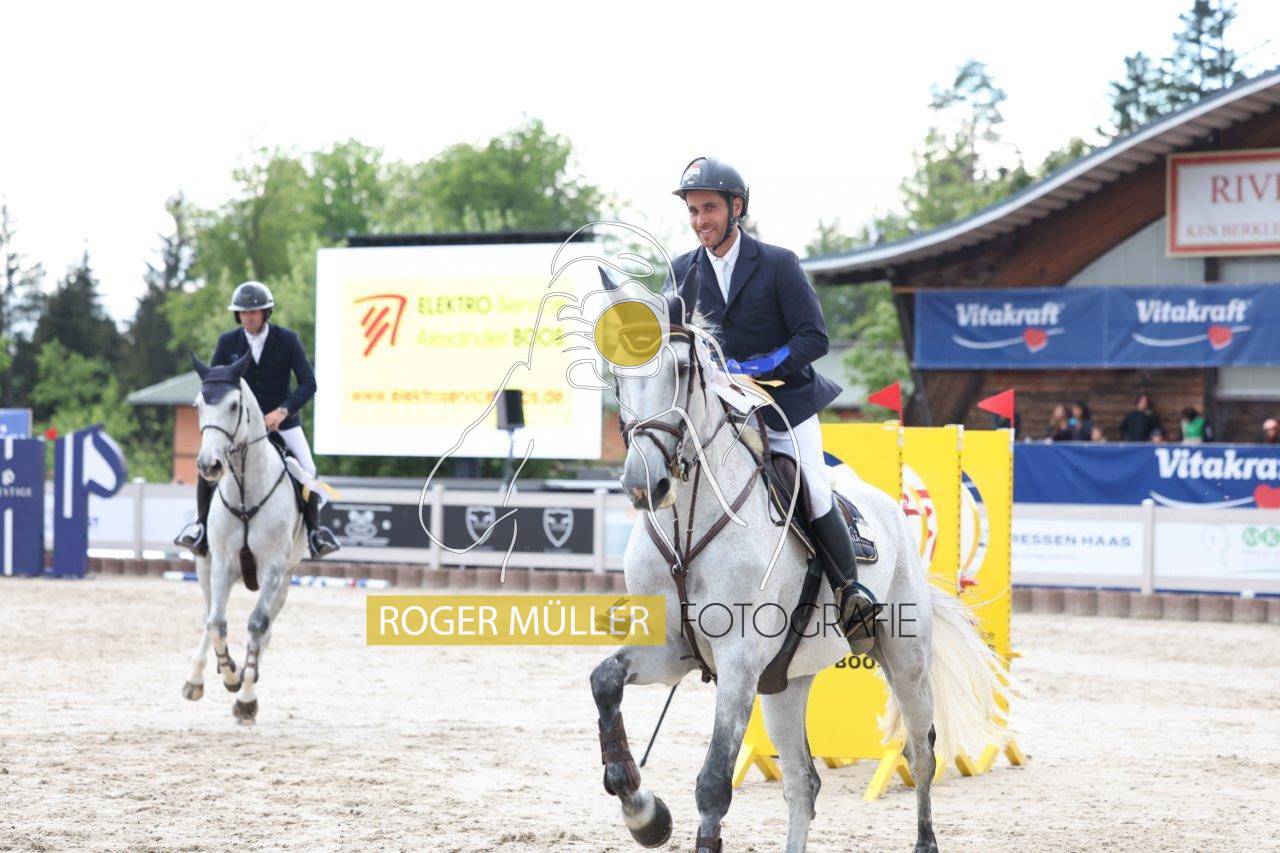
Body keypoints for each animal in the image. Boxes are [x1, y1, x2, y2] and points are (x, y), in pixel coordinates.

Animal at [180, 353, 308, 724]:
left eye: (234, 405)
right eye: (197, 406)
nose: (209, 465)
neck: (245, 490)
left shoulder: (274, 569)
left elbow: (257, 625)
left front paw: (246, 697)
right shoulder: (222, 562)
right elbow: (217, 623)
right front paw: (229, 674)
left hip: (284, 580)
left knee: (266, 627)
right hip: (205, 568)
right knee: (208, 615)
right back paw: (195, 679)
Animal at [588, 289, 1011, 852]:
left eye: (680, 369)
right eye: (617, 376)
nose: (644, 486)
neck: (687, 528)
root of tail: (889, 508)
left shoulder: (739, 660)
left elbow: (713, 784)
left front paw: (651, 816)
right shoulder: (672, 650)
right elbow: (604, 681)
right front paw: (643, 811)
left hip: (906, 659)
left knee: (921, 753)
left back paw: (926, 838)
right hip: (784, 682)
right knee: (803, 781)